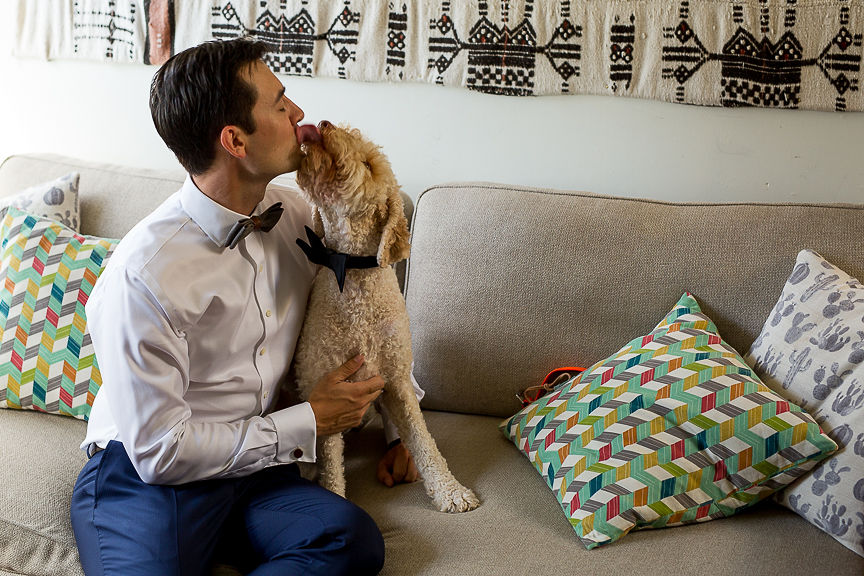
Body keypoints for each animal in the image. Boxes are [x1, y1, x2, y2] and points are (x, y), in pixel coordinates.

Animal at [290, 120, 480, 512]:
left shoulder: (395, 379)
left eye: (368, 164)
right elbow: (332, 468)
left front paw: (450, 490)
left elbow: (423, 440)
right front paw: (334, 496)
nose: (323, 124)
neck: (352, 270)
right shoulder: (325, 393)